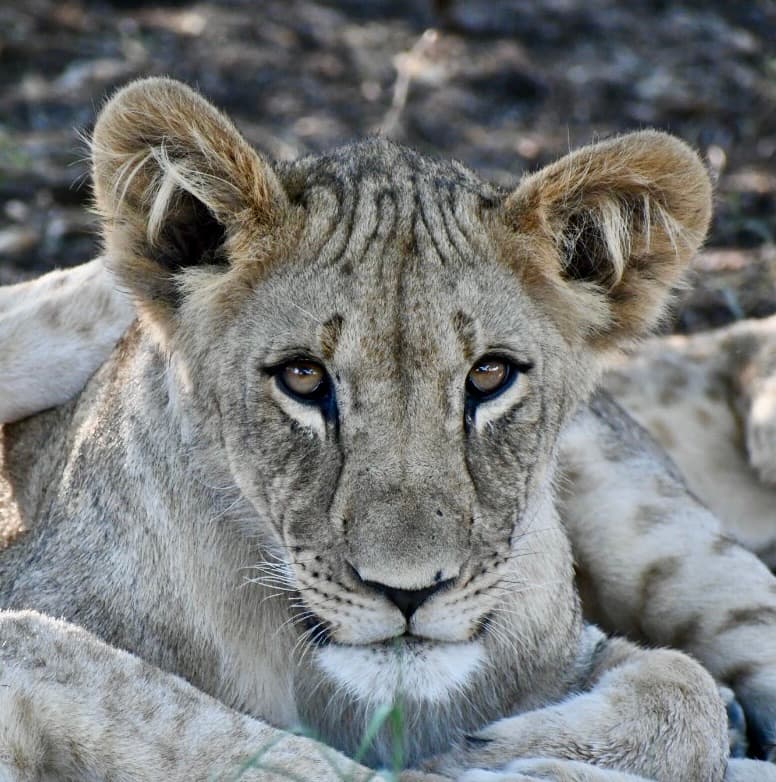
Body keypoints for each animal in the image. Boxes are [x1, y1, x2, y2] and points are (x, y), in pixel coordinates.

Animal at [2, 78, 776, 781]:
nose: (408, 593)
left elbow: (682, 691)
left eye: (489, 375)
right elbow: (219, 735)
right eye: (303, 377)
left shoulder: (576, 649)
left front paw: (493, 759)